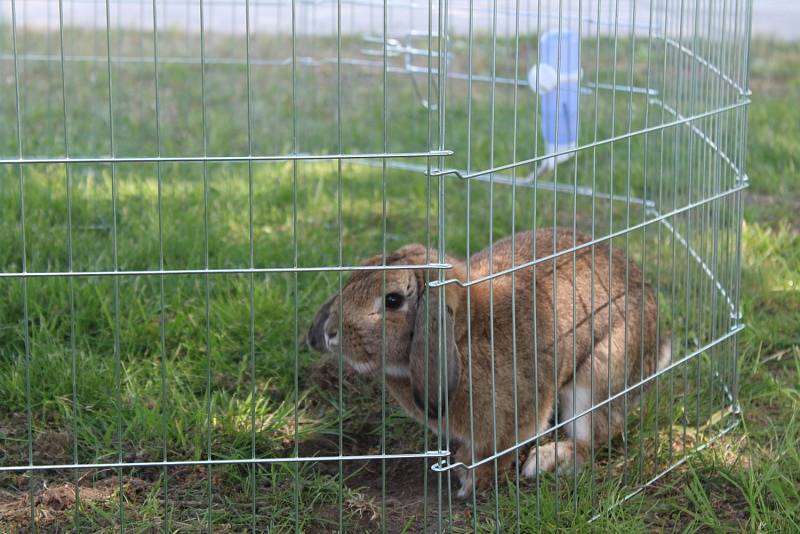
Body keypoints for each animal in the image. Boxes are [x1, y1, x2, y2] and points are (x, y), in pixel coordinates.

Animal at [306, 228, 668, 500]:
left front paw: (471, 482)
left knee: (594, 438)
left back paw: (548, 461)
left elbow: (499, 452)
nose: (330, 333)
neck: (464, 334)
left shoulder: (517, 417)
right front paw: (463, 464)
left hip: (595, 379)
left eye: (392, 300)